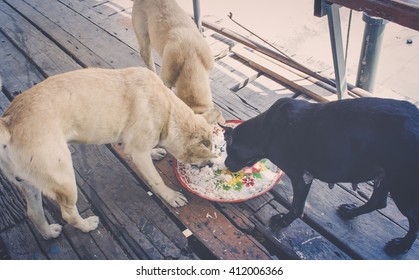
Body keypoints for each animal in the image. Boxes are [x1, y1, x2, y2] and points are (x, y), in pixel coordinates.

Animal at [0, 67, 223, 238]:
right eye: (201, 159)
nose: (209, 165)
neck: (169, 113)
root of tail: (9, 123)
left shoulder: (135, 147)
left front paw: (156, 152)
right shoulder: (139, 153)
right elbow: (156, 180)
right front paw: (171, 196)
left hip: (29, 184)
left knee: (33, 213)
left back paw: (49, 233)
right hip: (64, 179)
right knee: (69, 214)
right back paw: (87, 226)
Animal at [225, 97, 419, 255]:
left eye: (229, 151)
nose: (226, 164)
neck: (266, 129)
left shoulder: (301, 177)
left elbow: (297, 207)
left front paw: (283, 221)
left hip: (403, 188)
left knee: (413, 221)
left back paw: (401, 246)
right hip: (387, 177)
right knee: (378, 201)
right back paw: (351, 212)